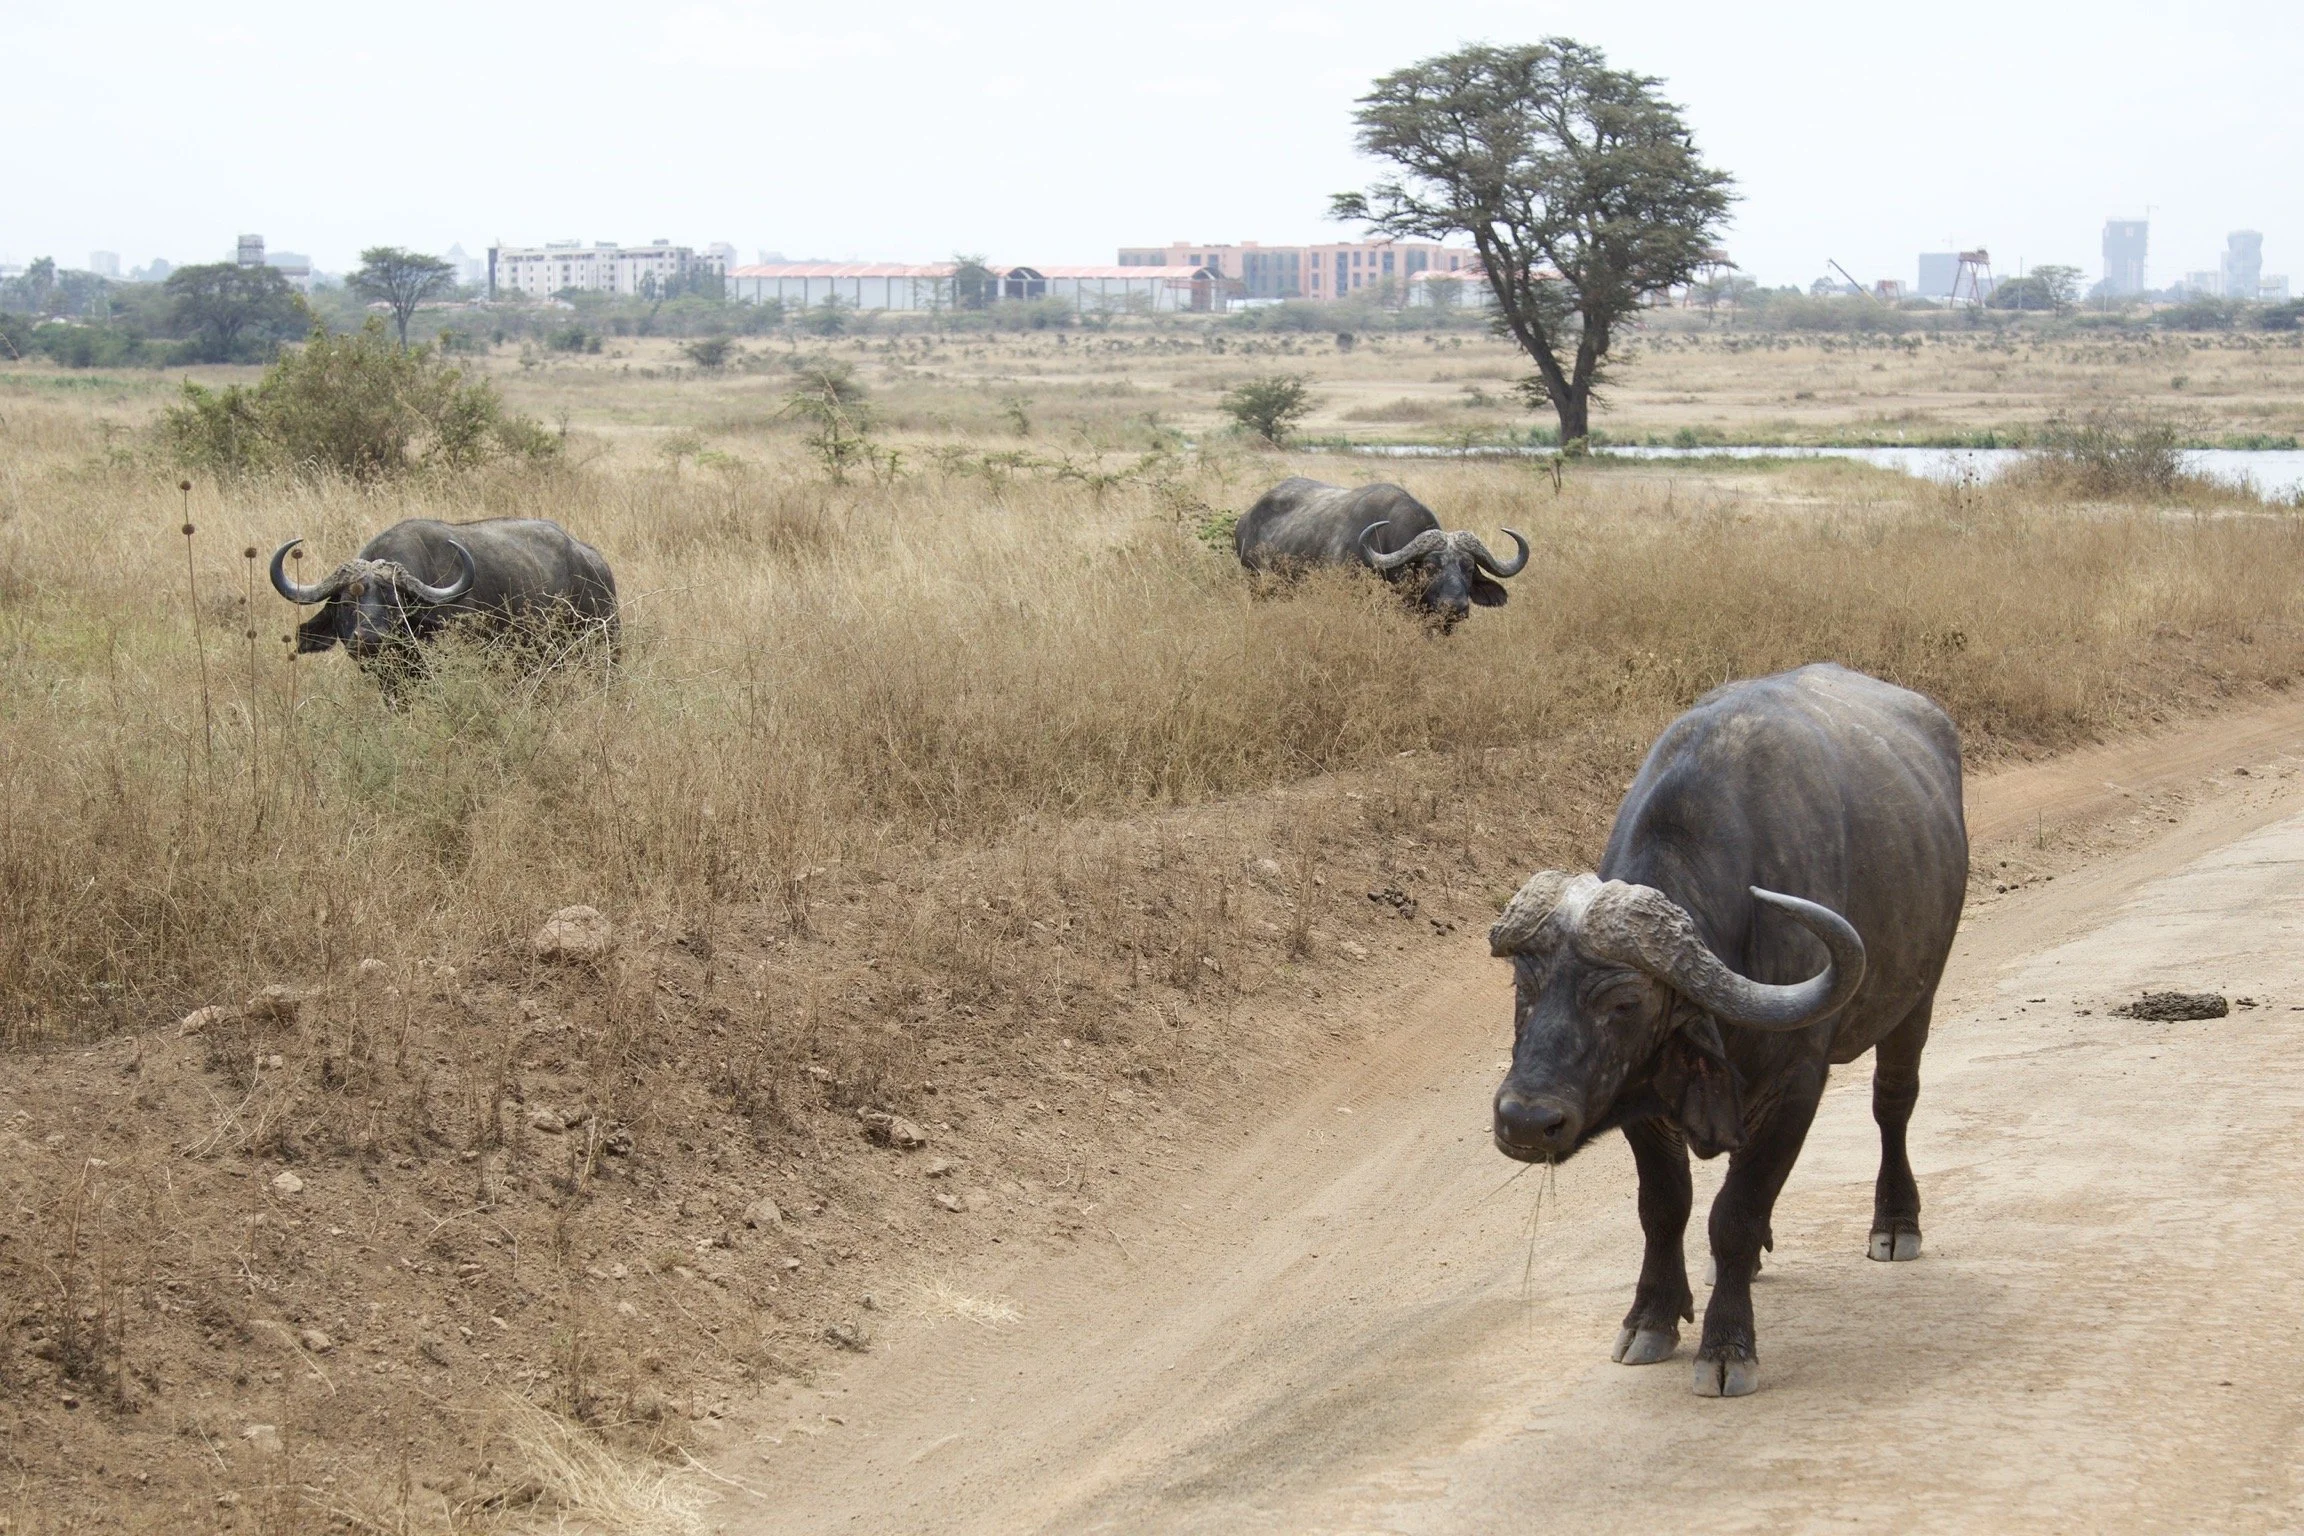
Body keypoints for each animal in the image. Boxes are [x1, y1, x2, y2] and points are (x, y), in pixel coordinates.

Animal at [1486, 663, 1967, 1397]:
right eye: (1525, 985)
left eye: (1626, 1004)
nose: (1523, 1121)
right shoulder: (1644, 1105)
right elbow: (1665, 1207)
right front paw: (1652, 1317)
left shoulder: (1797, 1087)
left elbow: (1734, 1214)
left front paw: (1726, 1347)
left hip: (1918, 997)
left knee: (1894, 1104)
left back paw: (1894, 1223)